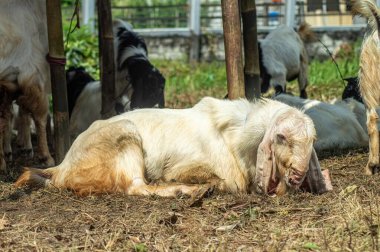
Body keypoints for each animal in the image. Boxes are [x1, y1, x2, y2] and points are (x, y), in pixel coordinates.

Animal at [14, 97, 332, 198]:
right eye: (281, 137)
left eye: (312, 141)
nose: (298, 175)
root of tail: (62, 167)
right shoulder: (190, 166)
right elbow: (223, 182)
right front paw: (199, 186)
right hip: (125, 138)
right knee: (136, 187)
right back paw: (185, 191)